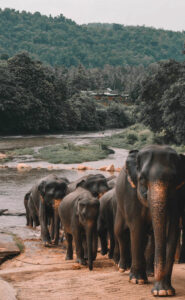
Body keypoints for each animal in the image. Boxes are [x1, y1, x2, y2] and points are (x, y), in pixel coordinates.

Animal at [115, 145, 184, 296]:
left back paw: (150, 272)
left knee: (152, 237)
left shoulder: (178, 194)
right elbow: (137, 226)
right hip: (119, 204)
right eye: (142, 179)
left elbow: (173, 229)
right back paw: (123, 268)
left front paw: (164, 291)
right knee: (120, 232)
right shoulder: (131, 192)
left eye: (173, 179)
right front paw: (137, 280)